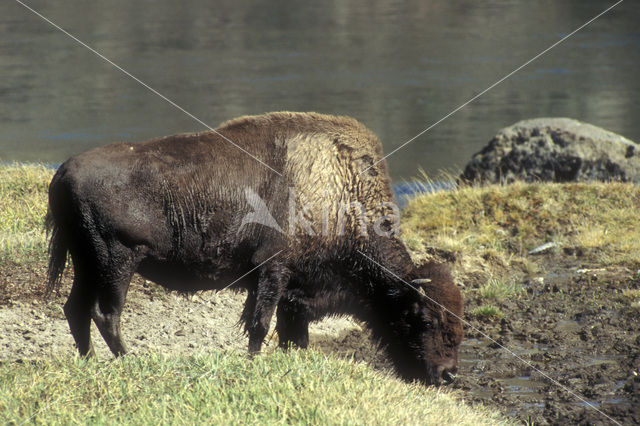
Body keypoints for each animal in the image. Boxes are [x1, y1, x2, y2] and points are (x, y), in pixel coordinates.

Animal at [46, 111, 464, 384]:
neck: (339, 190)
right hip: (117, 263)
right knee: (106, 314)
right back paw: (129, 360)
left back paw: (90, 362)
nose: (448, 374)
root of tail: (64, 171)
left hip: (87, 264)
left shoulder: (295, 294)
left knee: (76, 310)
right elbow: (260, 325)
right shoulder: (272, 272)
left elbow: (291, 334)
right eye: (423, 318)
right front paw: (253, 362)